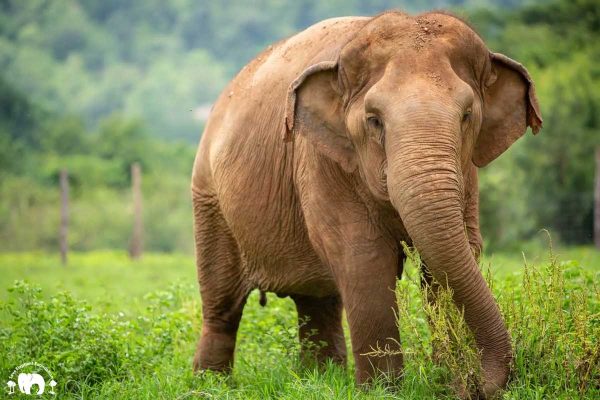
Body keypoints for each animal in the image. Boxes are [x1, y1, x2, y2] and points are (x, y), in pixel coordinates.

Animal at [190, 9, 540, 396]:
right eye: (374, 121)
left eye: (467, 116)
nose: (476, 382)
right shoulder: (321, 159)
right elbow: (363, 255)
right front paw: (384, 391)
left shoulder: (466, 173)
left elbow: (452, 255)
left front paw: (448, 377)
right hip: (209, 199)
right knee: (223, 302)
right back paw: (211, 384)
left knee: (318, 300)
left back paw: (319, 377)